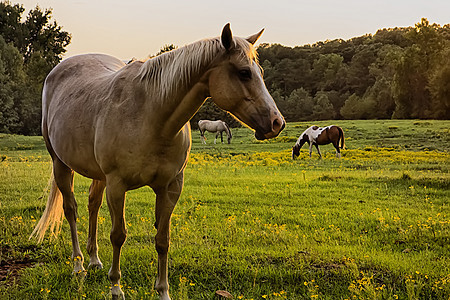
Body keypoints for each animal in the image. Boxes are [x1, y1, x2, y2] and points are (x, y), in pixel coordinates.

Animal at [29, 24, 284, 300]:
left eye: (259, 72)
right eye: (244, 73)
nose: (277, 123)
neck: (151, 116)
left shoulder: (170, 187)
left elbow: (163, 239)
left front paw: (163, 291)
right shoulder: (117, 185)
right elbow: (118, 235)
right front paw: (116, 288)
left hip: (98, 175)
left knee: (92, 205)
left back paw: (94, 260)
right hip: (60, 164)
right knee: (71, 210)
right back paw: (78, 266)